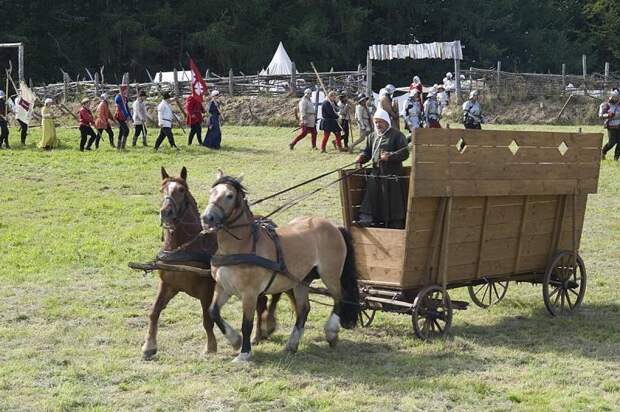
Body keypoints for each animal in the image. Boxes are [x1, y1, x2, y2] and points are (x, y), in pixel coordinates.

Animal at [142, 167, 282, 360]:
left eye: (181, 190)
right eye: (161, 189)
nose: (166, 212)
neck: (184, 247)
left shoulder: (207, 290)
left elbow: (207, 318)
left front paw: (212, 346)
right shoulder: (168, 285)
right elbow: (154, 312)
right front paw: (149, 346)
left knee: (266, 302)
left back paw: (263, 330)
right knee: (263, 302)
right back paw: (259, 334)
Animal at [201, 169, 360, 362]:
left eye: (230, 195)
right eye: (211, 192)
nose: (207, 218)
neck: (241, 246)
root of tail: (333, 226)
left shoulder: (250, 293)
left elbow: (247, 324)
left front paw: (244, 353)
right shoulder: (223, 287)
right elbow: (213, 312)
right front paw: (235, 340)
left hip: (330, 274)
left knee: (338, 298)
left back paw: (330, 332)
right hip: (301, 280)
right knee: (303, 310)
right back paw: (292, 345)